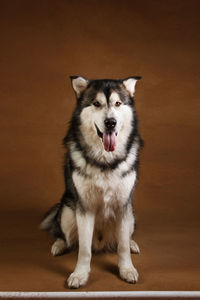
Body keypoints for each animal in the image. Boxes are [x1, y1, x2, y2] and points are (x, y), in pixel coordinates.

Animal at [40, 75, 143, 288]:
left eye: (117, 103)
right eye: (96, 103)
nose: (110, 122)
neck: (105, 160)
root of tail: (101, 243)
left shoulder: (123, 205)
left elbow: (121, 247)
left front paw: (127, 269)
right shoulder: (84, 208)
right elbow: (84, 249)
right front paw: (80, 274)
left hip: (131, 215)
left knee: (124, 237)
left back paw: (132, 243)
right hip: (67, 210)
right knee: (64, 234)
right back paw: (59, 245)